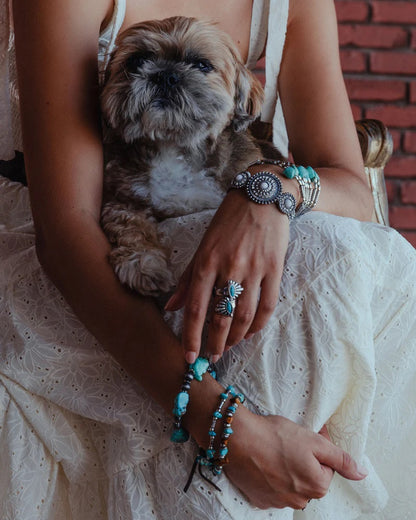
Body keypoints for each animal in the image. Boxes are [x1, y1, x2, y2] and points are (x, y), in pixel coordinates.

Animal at [101, 15, 282, 296]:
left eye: (202, 64)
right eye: (137, 61)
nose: (165, 75)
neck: (173, 145)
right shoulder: (121, 201)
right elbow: (130, 226)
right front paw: (143, 263)